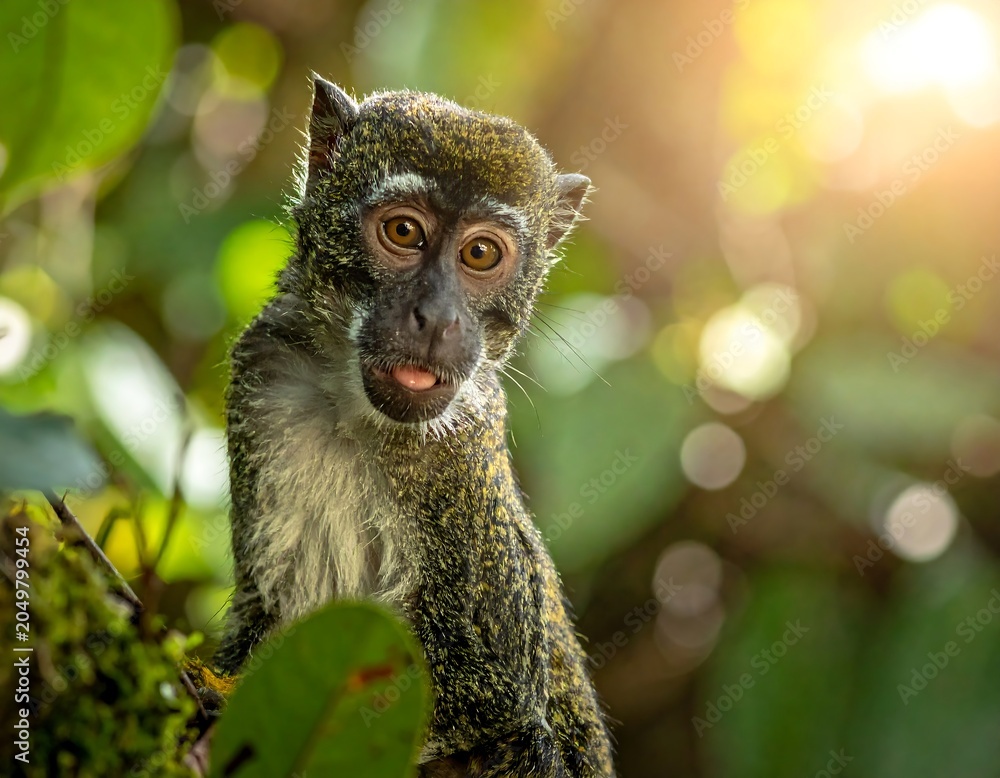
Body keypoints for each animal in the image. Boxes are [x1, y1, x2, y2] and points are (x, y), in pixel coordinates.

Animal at [213, 75, 615, 777]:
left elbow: (493, 696)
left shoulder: (462, 464)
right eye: (404, 231)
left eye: (480, 252)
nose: (437, 317)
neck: (353, 413)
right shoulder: (265, 373)